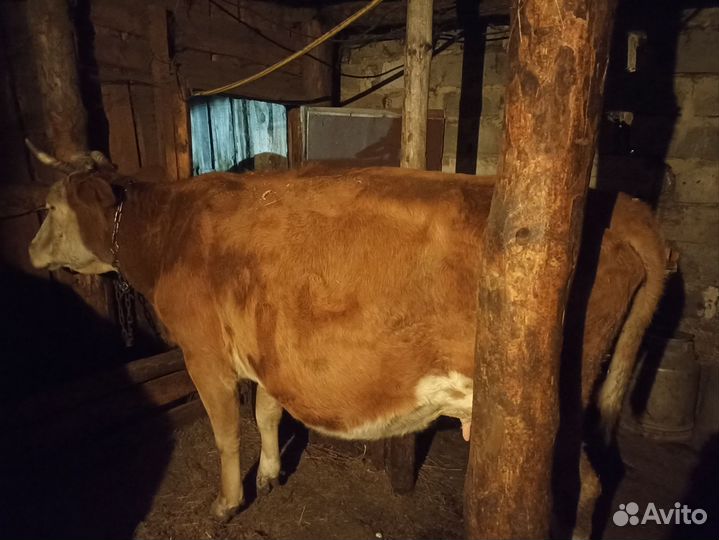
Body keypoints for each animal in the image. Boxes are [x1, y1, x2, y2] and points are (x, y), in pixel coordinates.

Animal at [26, 144, 667, 538]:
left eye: (50, 206)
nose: (30, 252)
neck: (170, 229)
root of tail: (621, 206)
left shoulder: (203, 352)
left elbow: (226, 431)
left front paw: (228, 502)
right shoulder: (268, 349)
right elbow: (266, 414)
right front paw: (271, 476)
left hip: (549, 409)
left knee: (585, 484)